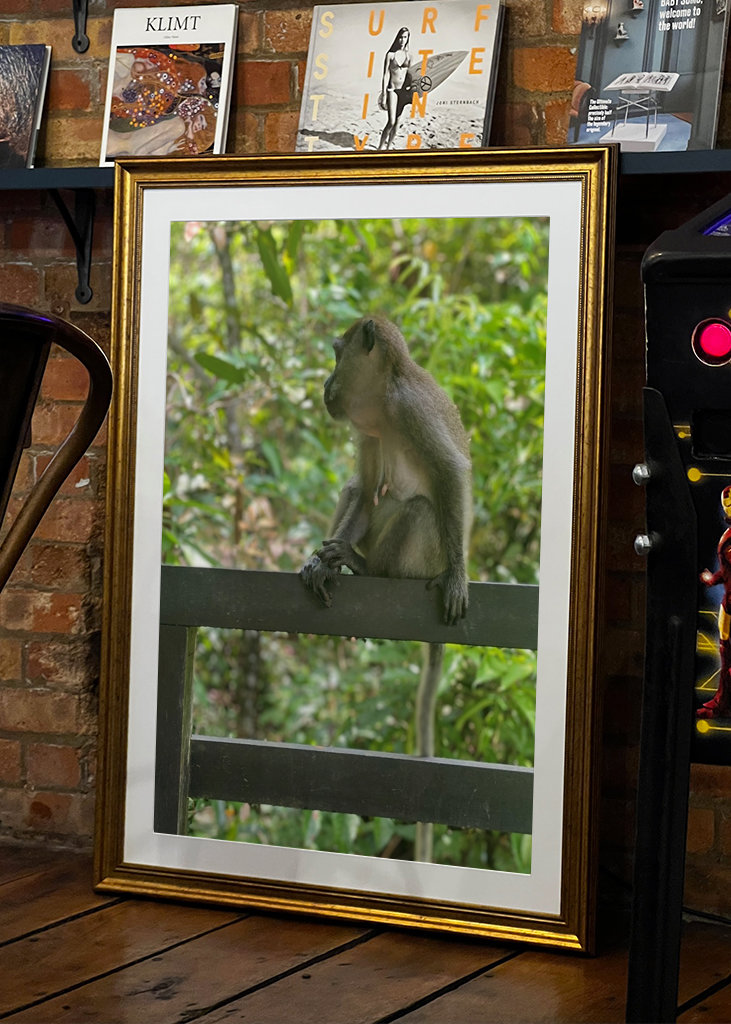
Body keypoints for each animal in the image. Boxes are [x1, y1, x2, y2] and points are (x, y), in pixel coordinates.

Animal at [300, 316, 472, 862]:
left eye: (337, 354)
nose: (325, 384)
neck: (382, 402)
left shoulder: (408, 408)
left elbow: (451, 474)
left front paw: (459, 576)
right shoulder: (366, 427)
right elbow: (363, 485)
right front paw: (319, 562)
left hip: (425, 557)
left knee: (419, 510)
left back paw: (367, 568)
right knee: (359, 491)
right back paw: (336, 562)